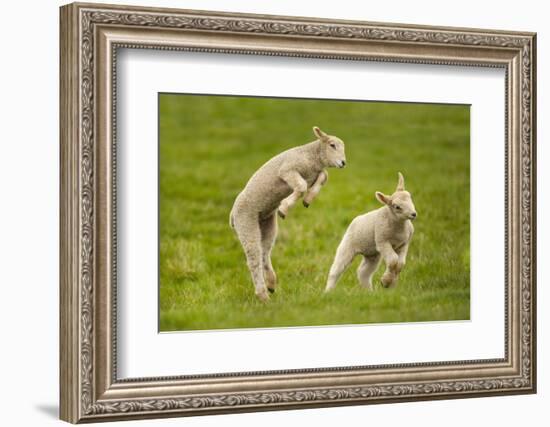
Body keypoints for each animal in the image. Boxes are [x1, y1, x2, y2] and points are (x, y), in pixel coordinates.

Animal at [231, 126, 348, 300]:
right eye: (332, 145)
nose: (343, 163)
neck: (311, 156)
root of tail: (232, 215)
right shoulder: (287, 170)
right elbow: (301, 186)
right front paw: (284, 207)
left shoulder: (314, 173)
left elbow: (323, 176)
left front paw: (308, 200)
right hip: (245, 221)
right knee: (253, 259)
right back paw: (263, 295)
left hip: (267, 223)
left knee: (264, 253)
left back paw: (271, 284)